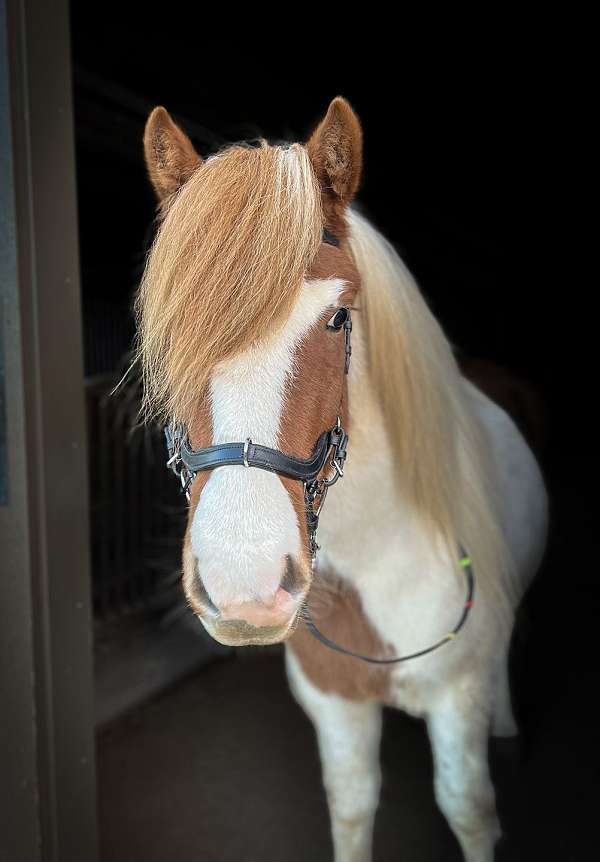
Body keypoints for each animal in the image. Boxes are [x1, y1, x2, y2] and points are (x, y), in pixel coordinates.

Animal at [136, 97, 548, 862]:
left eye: (335, 318)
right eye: (172, 333)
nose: (244, 584)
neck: (378, 562)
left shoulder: (456, 699)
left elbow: (469, 810)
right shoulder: (336, 709)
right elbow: (352, 807)